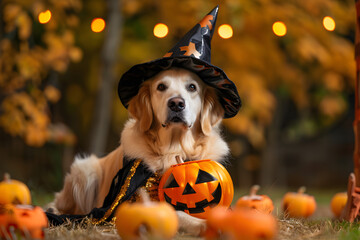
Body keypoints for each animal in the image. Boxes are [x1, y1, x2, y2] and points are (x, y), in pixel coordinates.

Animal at [49, 67, 229, 236]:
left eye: (192, 87)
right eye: (161, 86)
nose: (176, 103)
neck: (173, 150)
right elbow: (174, 212)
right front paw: (204, 224)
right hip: (85, 170)